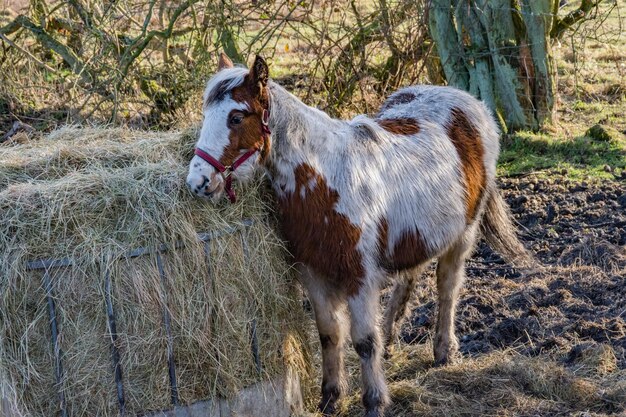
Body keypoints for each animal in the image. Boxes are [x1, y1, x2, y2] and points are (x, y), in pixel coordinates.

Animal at [185, 55, 532, 416]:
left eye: (236, 117)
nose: (198, 182)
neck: (325, 180)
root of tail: (470, 103)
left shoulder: (360, 279)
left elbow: (365, 342)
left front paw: (374, 401)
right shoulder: (314, 274)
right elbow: (329, 335)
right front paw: (331, 397)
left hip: (462, 234)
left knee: (447, 287)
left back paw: (444, 350)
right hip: (419, 233)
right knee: (409, 276)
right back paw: (391, 340)